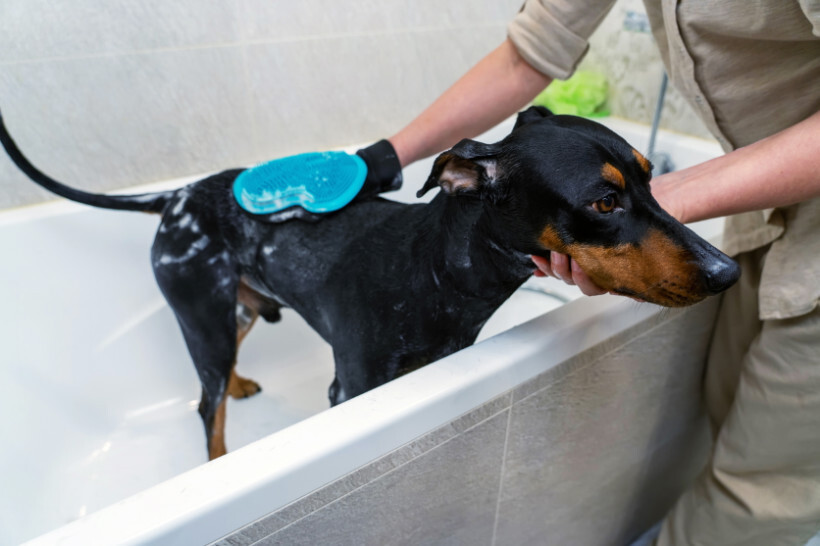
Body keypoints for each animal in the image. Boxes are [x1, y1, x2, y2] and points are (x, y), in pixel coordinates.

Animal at [0, 104, 740, 456]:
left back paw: (240, 382)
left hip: (239, 308)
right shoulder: (350, 388)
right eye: (603, 203)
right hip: (200, 316)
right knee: (205, 410)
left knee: (221, 375)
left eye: (649, 177)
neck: (435, 271)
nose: (727, 269)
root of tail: (177, 196)